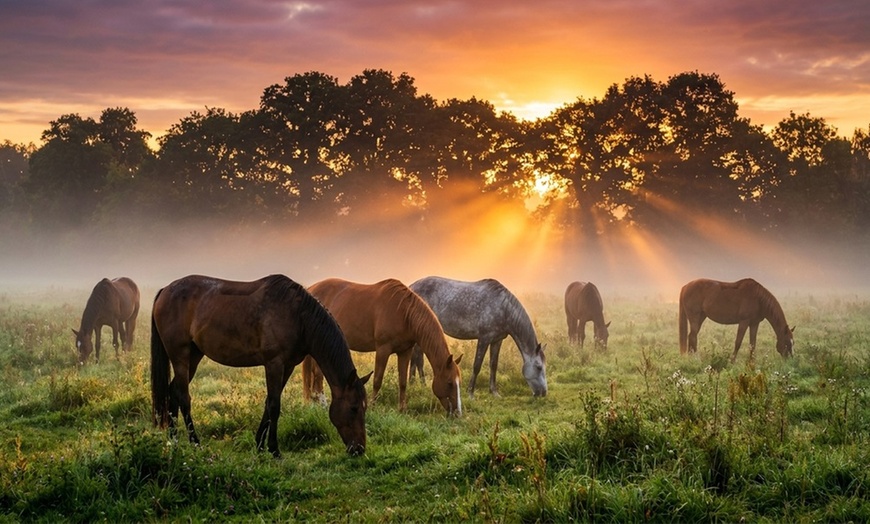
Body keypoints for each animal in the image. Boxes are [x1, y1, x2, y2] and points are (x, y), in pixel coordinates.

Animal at [150, 274, 371, 457]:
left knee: (173, 391)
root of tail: (165, 290)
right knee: (183, 396)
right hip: (180, 356)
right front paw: (274, 450)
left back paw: (173, 441)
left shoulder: (287, 366)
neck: (298, 316)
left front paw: (259, 445)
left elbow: (269, 402)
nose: (359, 449)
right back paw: (195, 442)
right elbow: (274, 405)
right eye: (353, 408)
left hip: (194, 356)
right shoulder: (274, 363)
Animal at [303, 278, 463, 415]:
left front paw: (402, 409)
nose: (457, 413)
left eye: (458, 382)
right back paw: (322, 403)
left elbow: (403, 382)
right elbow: (377, 380)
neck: (404, 313)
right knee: (318, 374)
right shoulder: (383, 349)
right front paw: (372, 407)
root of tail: (310, 289)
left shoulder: (405, 351)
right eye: (449, 383)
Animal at [409, 276, 547, 398]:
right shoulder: (484, 339)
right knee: (417, 357)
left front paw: (494, 392)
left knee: (416, 357)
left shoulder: (497, 340)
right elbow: (477, 365)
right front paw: (470, 392)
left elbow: (493, 365)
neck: (503, 309)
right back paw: (421, 385)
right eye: (539, 367)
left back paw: (414, 383)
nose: (543, 393)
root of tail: (411, 287)